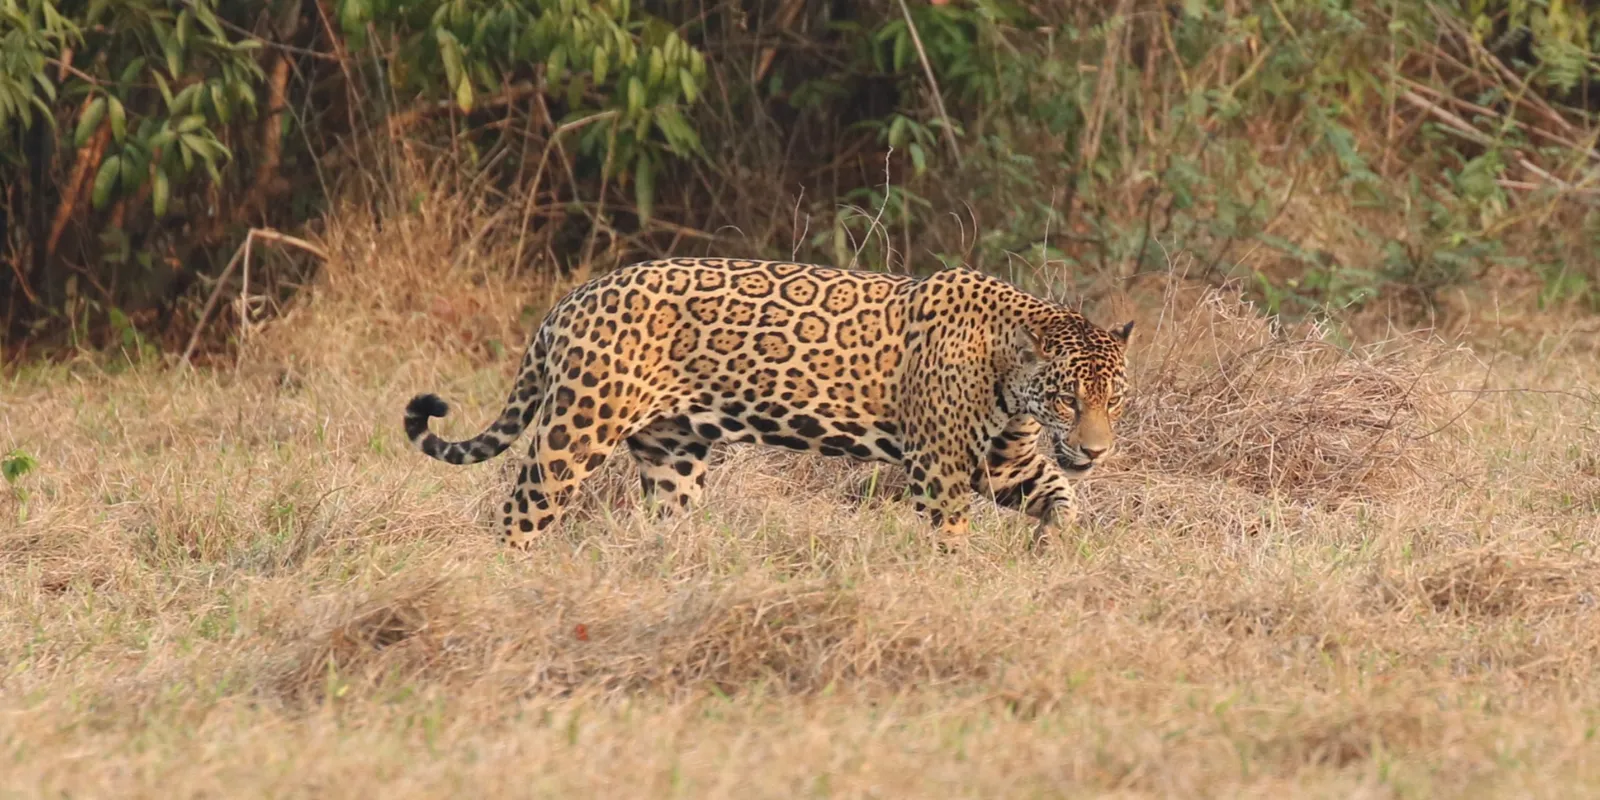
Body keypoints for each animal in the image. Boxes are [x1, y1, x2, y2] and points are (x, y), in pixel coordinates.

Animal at [403, 257, 1133, 551]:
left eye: (1115, 400)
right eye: (1068, 399)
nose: (1095, 449)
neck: (1010, 372)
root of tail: (570, 300)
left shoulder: (1004, 464)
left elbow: (1062, 495)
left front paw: (1050, 544)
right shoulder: (941, 469)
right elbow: (953, 532)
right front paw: (957, 580)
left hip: (673, 455)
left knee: (663, 516)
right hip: (577, 429)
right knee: (521, 512)